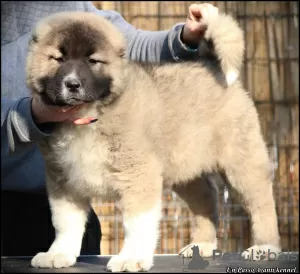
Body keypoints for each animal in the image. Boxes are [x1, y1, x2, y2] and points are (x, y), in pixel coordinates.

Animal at [26, 10, 282, 272]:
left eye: (93, 61)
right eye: (58, 59)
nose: (72, 84)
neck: (91, 113)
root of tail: (211, 65)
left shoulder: (137, 175)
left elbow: (136, 223)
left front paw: (131, 257)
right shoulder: (64, 180)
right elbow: (65, 223)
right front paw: (59, 253)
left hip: (240, 161)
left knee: (261, 202)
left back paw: (265, 247)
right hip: (184, 167)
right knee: (206, 196)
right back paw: (202, 244)